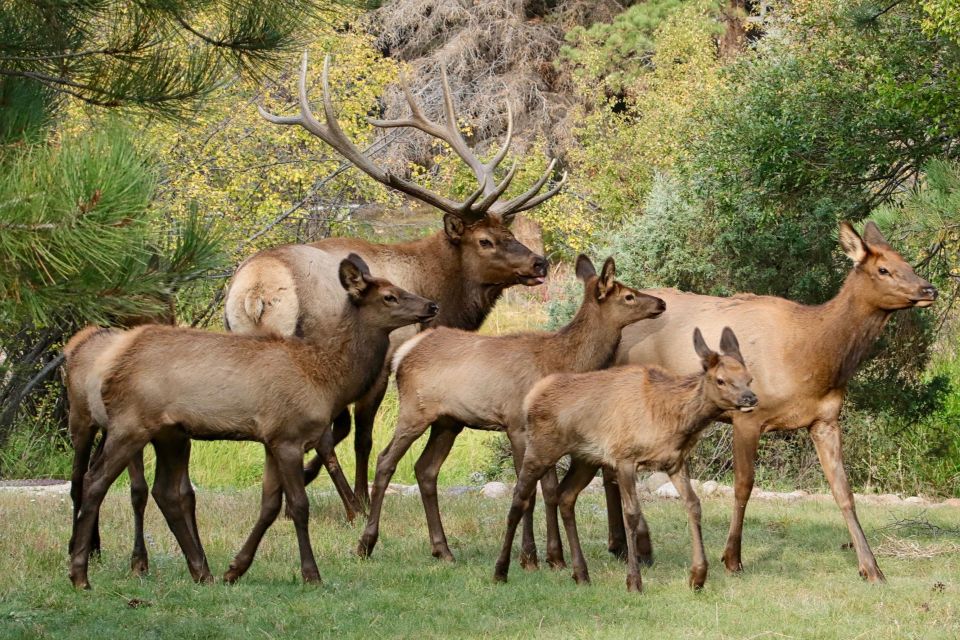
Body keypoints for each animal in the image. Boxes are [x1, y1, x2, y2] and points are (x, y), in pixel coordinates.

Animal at [66, 255, 438, 592]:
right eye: (389, 295)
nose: (432, 305)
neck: (329, 380)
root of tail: (110, 364)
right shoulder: (288, 437)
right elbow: (299, 506)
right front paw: (311, 574)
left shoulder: (272, 440)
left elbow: (269, 507)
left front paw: (235, 569)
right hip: (129, 424)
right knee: (94, 480)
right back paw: (80, 573)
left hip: (169, 434)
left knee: (165, 492)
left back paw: (202, 572)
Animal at [356, 255, 664, 564]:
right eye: (628, 295)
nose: (661, 302)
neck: (564, 361)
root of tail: (402, 353)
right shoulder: (517, 424)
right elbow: (527, 489)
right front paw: (530, 556)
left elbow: (549, 489)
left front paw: (554, 556)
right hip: (414, 410)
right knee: (385, 461)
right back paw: (366, 544)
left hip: (448, 422)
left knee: (425, 469)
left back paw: (442, 549)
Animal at [496, 328, 756, 592]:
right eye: (721, 380)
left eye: (749, 378)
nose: (750, 398)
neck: (672, 421)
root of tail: (531, 397)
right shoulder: (624, 458)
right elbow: (632, 513)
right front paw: (634, 580)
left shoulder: (675, 462)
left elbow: (694, 505)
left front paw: (698, 576)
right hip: (540, 448)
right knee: (519, 499)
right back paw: (502, 571)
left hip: (585, 459)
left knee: (565, 496)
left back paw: (581, 573)